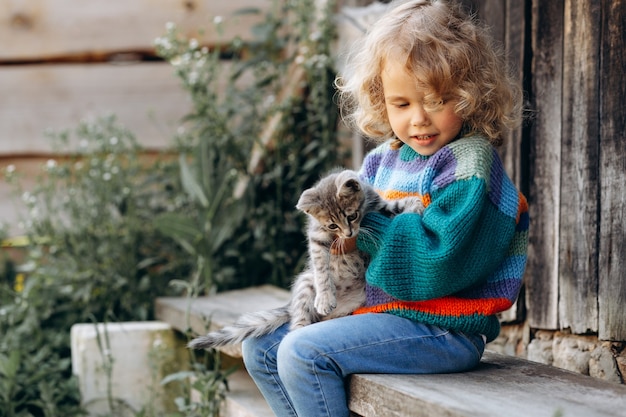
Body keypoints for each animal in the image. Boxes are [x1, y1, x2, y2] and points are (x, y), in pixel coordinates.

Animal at [185, 168, 420, 348]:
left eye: (352, 215)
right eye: (332, 225)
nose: (348, 234)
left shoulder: (376, 203)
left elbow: (392, 207)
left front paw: (415, 205)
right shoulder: (317, 238)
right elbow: (322, 269)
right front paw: (325, 297)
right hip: (306, 284)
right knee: (299, 319)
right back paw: (301, 327)